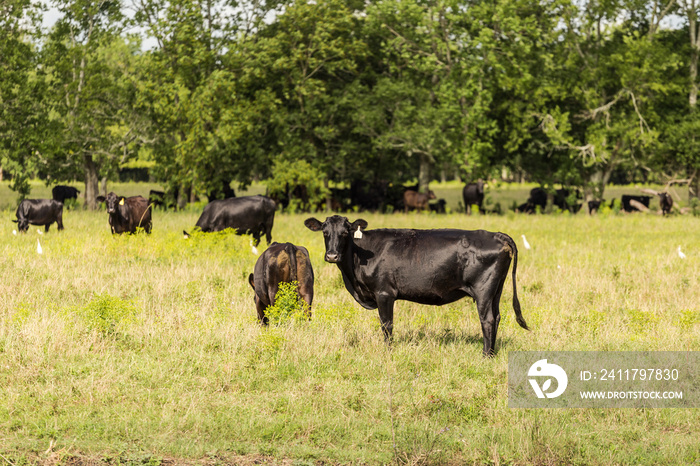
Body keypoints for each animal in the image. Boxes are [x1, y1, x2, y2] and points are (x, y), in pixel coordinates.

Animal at [304, 216, 528, 356]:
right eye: (325, 232)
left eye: (345, 232)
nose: (332, 255)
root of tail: (496, 234)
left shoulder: (384, 293)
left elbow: (387, 325)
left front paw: (388, 353)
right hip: (496, 290)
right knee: (496, 317)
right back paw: (492, 353)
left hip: (483, 290)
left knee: (487, 320)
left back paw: (485, 356)